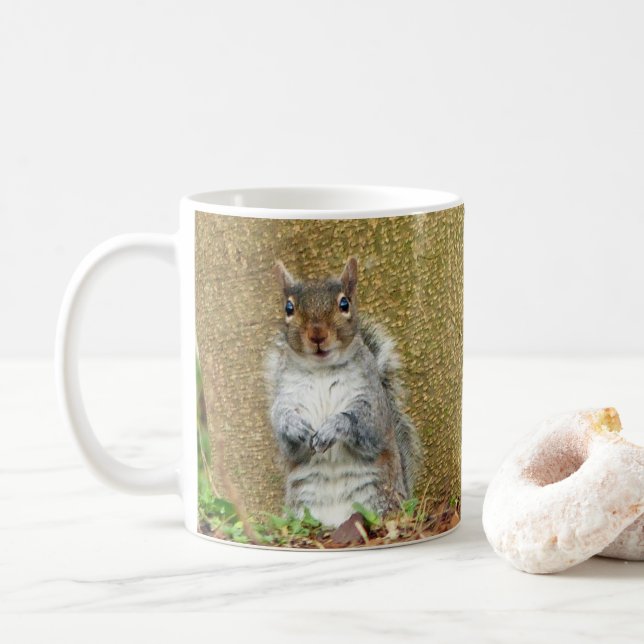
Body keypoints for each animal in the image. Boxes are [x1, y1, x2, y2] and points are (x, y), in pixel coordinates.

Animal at [264, 256, 420, 528]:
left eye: (344, 303)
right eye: (289, 308)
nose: (317, 334)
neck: (322, 370)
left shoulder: (373, 400)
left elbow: (364, 424)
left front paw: (333, 427)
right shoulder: (285, 396)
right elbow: (282, 427)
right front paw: (294, 426)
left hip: (379, 497)